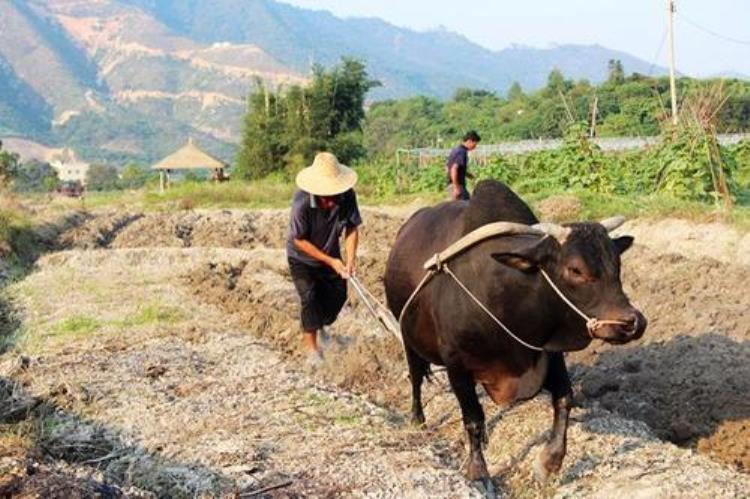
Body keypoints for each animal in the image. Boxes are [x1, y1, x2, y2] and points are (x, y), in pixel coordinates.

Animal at [384, 180, 648, 488]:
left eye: (617, 265)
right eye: (575, 269)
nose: (632, 323)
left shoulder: (549, 354)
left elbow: (565, 399)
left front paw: (549, 463)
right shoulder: (456, 366)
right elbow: (473, 419)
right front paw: (479, 472)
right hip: (408, 338)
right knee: (415, 378)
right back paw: (417, 419)